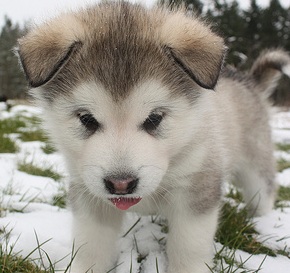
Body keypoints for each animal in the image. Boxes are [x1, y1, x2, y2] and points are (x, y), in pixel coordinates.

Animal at [17, 1, 290, 270]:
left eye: (154, 118)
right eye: (86, 119)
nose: (120, 184)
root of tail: (248, 81)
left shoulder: (197, 190)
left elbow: (188, 247)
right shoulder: (89, 195)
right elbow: (91, 247)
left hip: (255, 163)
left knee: (264, 189)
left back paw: (261, 221)